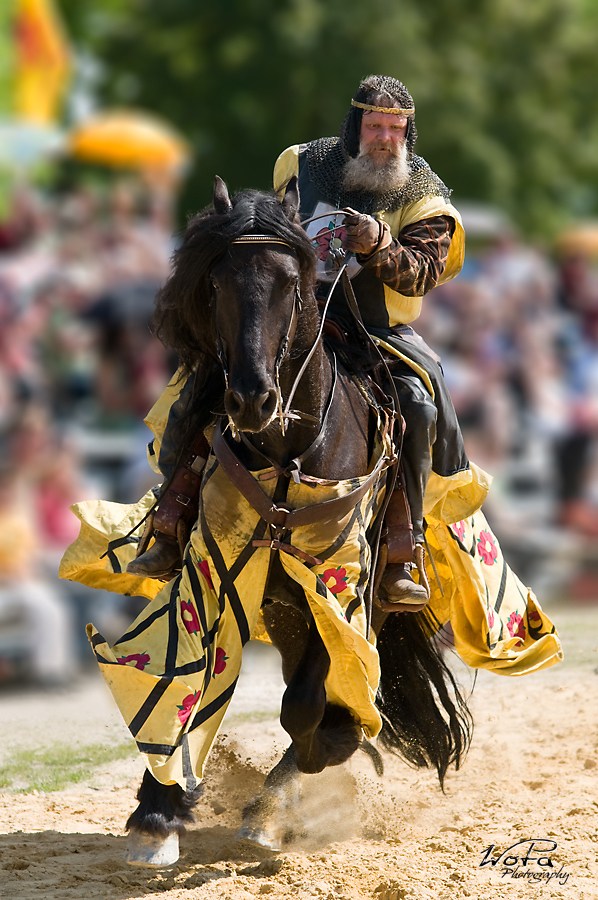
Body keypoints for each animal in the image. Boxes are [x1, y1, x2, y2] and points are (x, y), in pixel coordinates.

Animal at [126, 178, 474, 864]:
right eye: (216, 284)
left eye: (292, 283)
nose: (251, 399)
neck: (289, 445)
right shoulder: (212, 569)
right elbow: (191, 678)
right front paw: (159, 811)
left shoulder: (337, 590)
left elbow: (311, 704)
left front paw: (303, 772)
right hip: (282, 610)